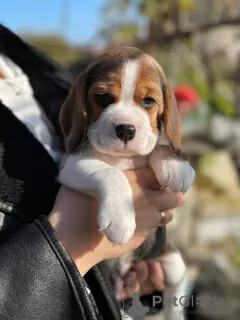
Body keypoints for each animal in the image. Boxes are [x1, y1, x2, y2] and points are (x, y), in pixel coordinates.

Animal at [58, 45, 195, 320]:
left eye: (148, 101)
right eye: (103, 97)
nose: (126, 130)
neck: (123, 158)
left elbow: (156, 145)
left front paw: (176, 164)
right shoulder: (70, 164)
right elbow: (112, 174)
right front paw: (120, 218)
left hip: (170, 258)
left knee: (175, 289)